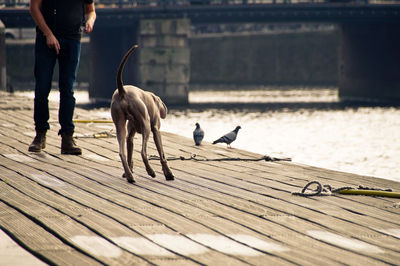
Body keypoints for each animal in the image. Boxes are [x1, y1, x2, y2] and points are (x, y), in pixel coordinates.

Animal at [111, 44, 173, 184]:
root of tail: (122, 91)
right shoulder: (156, 130)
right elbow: (162, 154)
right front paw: (168, 173)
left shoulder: (130, 136)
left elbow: (129, 153)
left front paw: (127, 172)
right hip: (146, 125)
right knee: (143, 152)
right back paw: (151, 172)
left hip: (120, 125)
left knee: (122, 153)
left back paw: (130, 176)